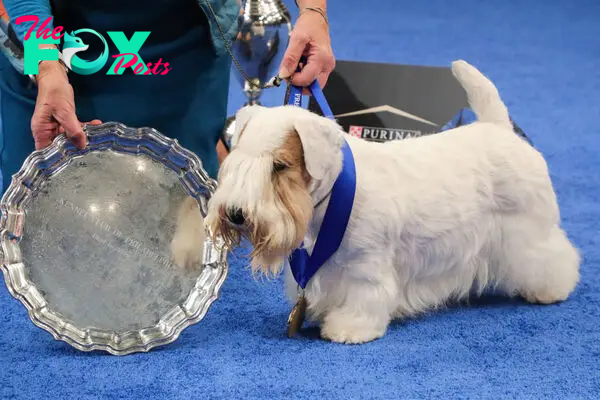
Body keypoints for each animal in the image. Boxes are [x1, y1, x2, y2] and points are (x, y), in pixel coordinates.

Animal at [204, 59, 580, 344]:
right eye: (237, 160)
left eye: (279, 166)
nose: (236, 214)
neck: (331, 197)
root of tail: (500, 128)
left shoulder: (365, 267)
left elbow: (364, 297)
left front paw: (349, 328)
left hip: (529, 231)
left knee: (553, 256)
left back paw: (550, 289)